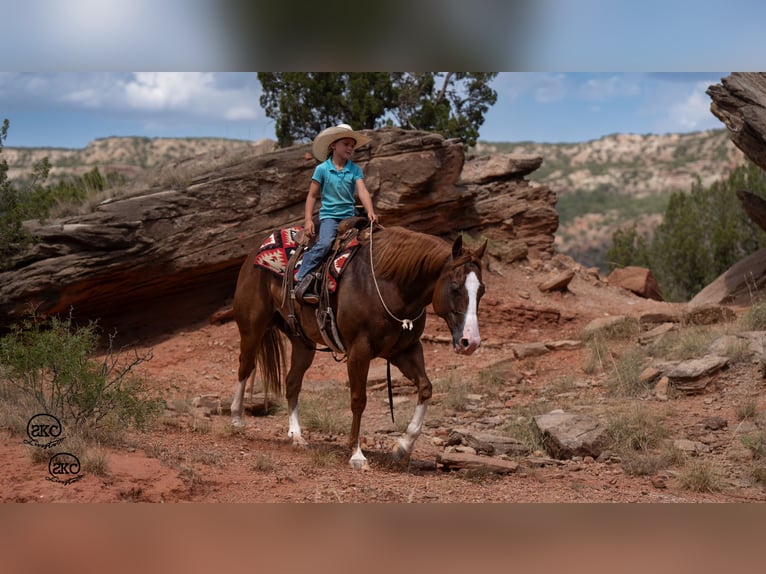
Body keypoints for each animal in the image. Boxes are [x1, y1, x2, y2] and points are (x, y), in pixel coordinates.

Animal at [231, 223, 488, 470]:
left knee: (292, 382)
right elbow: (358, 400)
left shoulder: (405, 350)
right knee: (245, 368)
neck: (389, 287)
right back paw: (236, 419)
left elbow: (425, 388)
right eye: (455, 286)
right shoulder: (359, 352)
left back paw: (296, 436)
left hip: (303, 343)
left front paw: (403, 448)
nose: (471, 342)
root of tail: (255, 253)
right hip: (252, 329)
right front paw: (356, 455)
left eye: (481, 290)